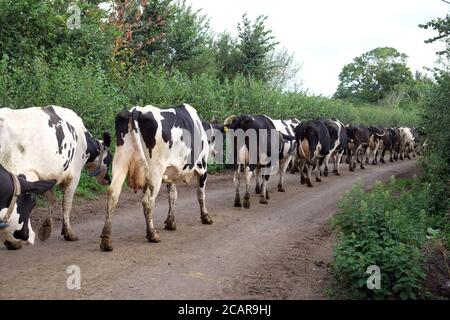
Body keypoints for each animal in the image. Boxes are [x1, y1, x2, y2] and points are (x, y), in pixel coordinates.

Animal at [0, 105, 112, 245]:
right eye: (110, 158)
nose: (109, 179)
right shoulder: (75, 175)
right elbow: (66, 204)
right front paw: (69, 233)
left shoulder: (47, 175)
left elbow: (52, 200)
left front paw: (46, 228)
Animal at [100, 104, 213, 251]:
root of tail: (136, 110)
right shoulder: (203, 168)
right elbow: (200, 194)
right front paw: (205, 217)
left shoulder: (170, 172)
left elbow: (172, 196)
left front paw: (170, 222)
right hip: (155, 170)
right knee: (148, 201)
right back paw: (152, 234)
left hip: (120, 162)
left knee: (112, 194)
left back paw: (106, 240)